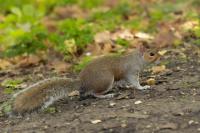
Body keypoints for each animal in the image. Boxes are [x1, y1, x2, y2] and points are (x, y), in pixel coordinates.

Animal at [11, 44, 160, 113]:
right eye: (151, 54)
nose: (160, 57)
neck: (136, 59)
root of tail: (82, 83)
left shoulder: (124, 76)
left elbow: (124, 82)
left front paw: (125, 86)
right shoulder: (131, 72)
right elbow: (135, 82)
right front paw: (143, 87)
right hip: (106, 80)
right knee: (94, 93)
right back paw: (106, 95)